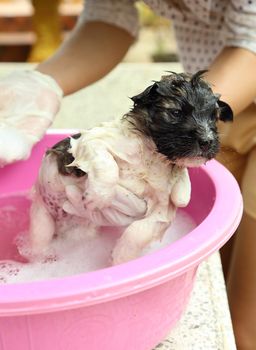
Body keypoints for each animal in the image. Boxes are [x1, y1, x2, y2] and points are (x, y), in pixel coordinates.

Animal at [27, 69, 233, 264]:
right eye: (176, 113)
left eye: (214, 117)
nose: (207, 141)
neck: (152, 158)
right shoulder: (92, 142)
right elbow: (107, 166)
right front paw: (98, 197)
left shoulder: (163, 209)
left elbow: (139, 230)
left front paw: (119, 258)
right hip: (41, 218)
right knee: (38, 240)